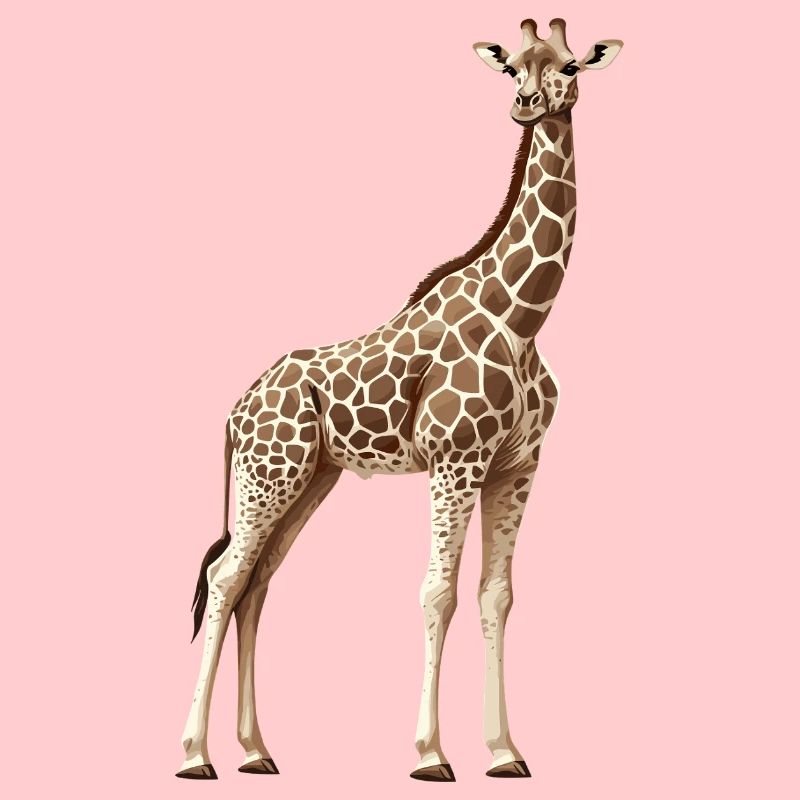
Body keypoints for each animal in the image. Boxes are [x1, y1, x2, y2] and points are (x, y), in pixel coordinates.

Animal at [177, 17, 623, 782]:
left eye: (569, 64)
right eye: (513, 68)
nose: (529, 104)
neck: (524, 317)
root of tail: (235, 412)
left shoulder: (517, 467)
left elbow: (497, 595)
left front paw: (505, 752)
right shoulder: (455, 460)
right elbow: (437, 591)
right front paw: (430, 754)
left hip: (311, 478)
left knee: (257, 581)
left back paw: (257, 751)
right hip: (270, 474)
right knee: (227, 574)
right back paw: (195, 754)